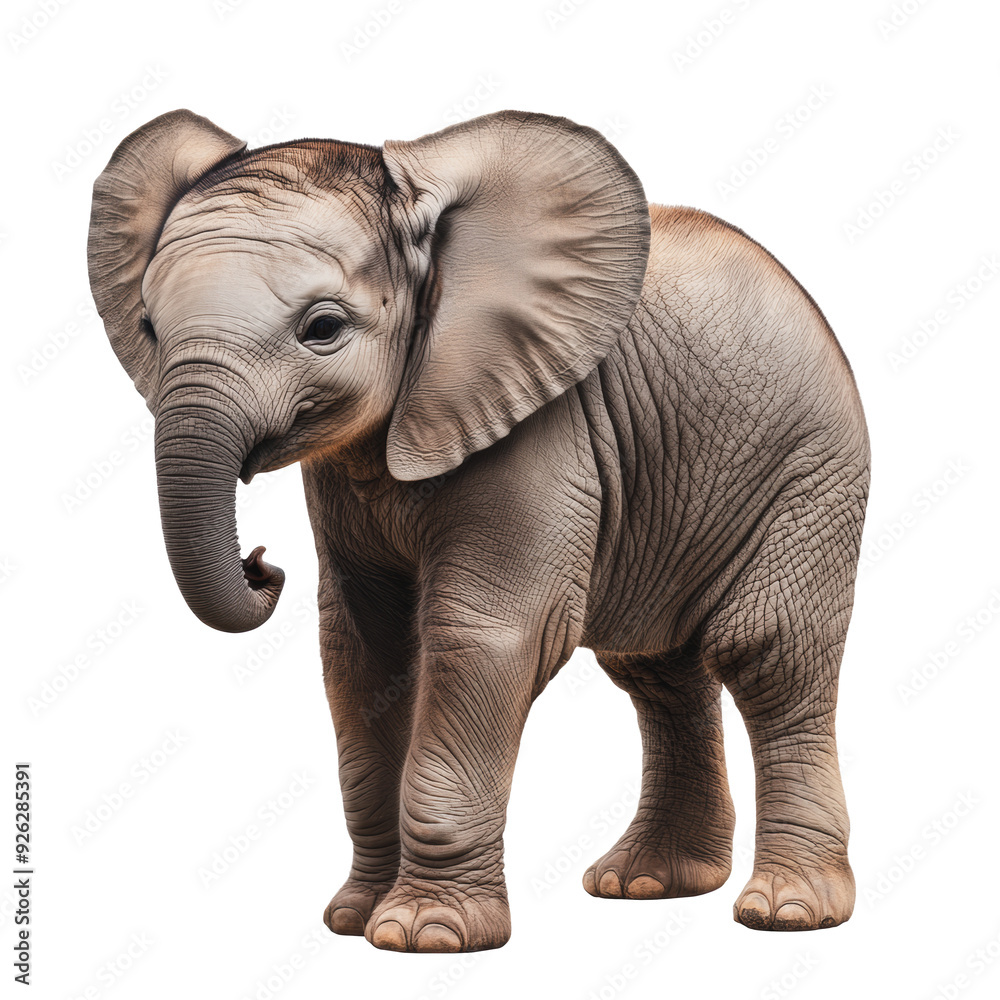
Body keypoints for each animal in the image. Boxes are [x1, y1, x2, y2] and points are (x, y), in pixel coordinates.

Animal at [87, 108, 870, 953]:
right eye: (148, 327)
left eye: (322, 328)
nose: (263, 564)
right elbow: (361, 648)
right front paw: (353, 919)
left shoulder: (542, 429)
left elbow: (486, 635)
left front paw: (423, 935)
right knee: (656, 670)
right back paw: (644, 885)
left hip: (811, 468)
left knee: (767, 654)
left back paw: (785, 912)